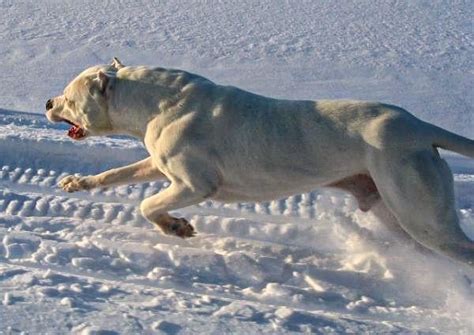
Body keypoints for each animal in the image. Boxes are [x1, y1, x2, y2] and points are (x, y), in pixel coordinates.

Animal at [46, 58, 474, 268]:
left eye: (69, 97)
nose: (48, 102)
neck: (153, 101)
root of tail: (418, 127)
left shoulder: (193, 184)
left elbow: (147, 205)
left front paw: (176, 228)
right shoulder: (159, 164)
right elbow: (115, 175)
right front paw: (77, 184)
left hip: (422, 215)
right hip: (394, 212)